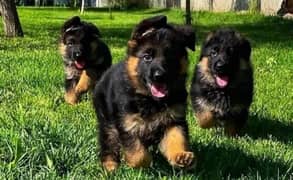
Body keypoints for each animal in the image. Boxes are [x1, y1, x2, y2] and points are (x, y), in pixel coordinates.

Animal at [92, 15, 195, 172]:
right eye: (147, 57)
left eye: (171, 57)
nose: (159, 76)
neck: (151, 100)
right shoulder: (128, 125)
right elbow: (139, 155)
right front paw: (140, 163)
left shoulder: (174, 120)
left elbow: (176, 138)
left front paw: (180, 155)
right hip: (106, 121)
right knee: (108, 141)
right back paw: (110, 165)